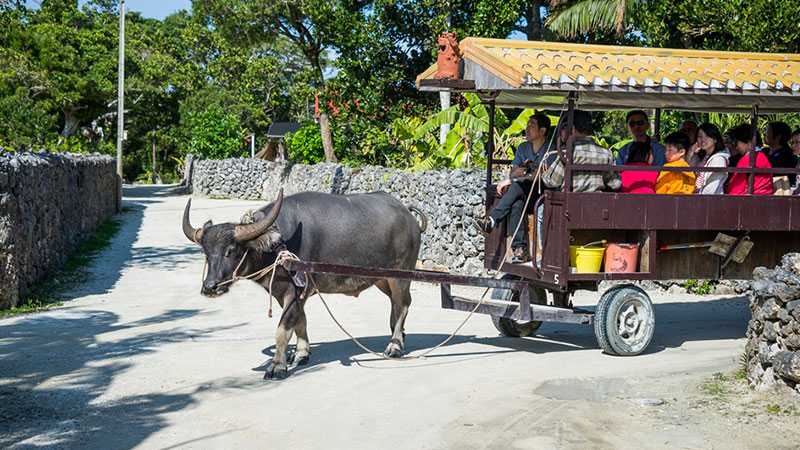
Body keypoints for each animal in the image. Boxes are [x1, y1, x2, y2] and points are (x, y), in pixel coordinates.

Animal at [184, 190, 428, 380]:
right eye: (206, 253)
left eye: (231, 250)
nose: (210, 287)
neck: (278, 247)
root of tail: (407, 213)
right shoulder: (289, 294)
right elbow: (300, 321)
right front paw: (301, 354)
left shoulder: (295, 291)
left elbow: (283, 329)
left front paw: (277, 366)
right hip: (382, 279)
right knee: (396, 304)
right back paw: (400, 335)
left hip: (401, 275)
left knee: (403, 304)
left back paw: (395, 345)